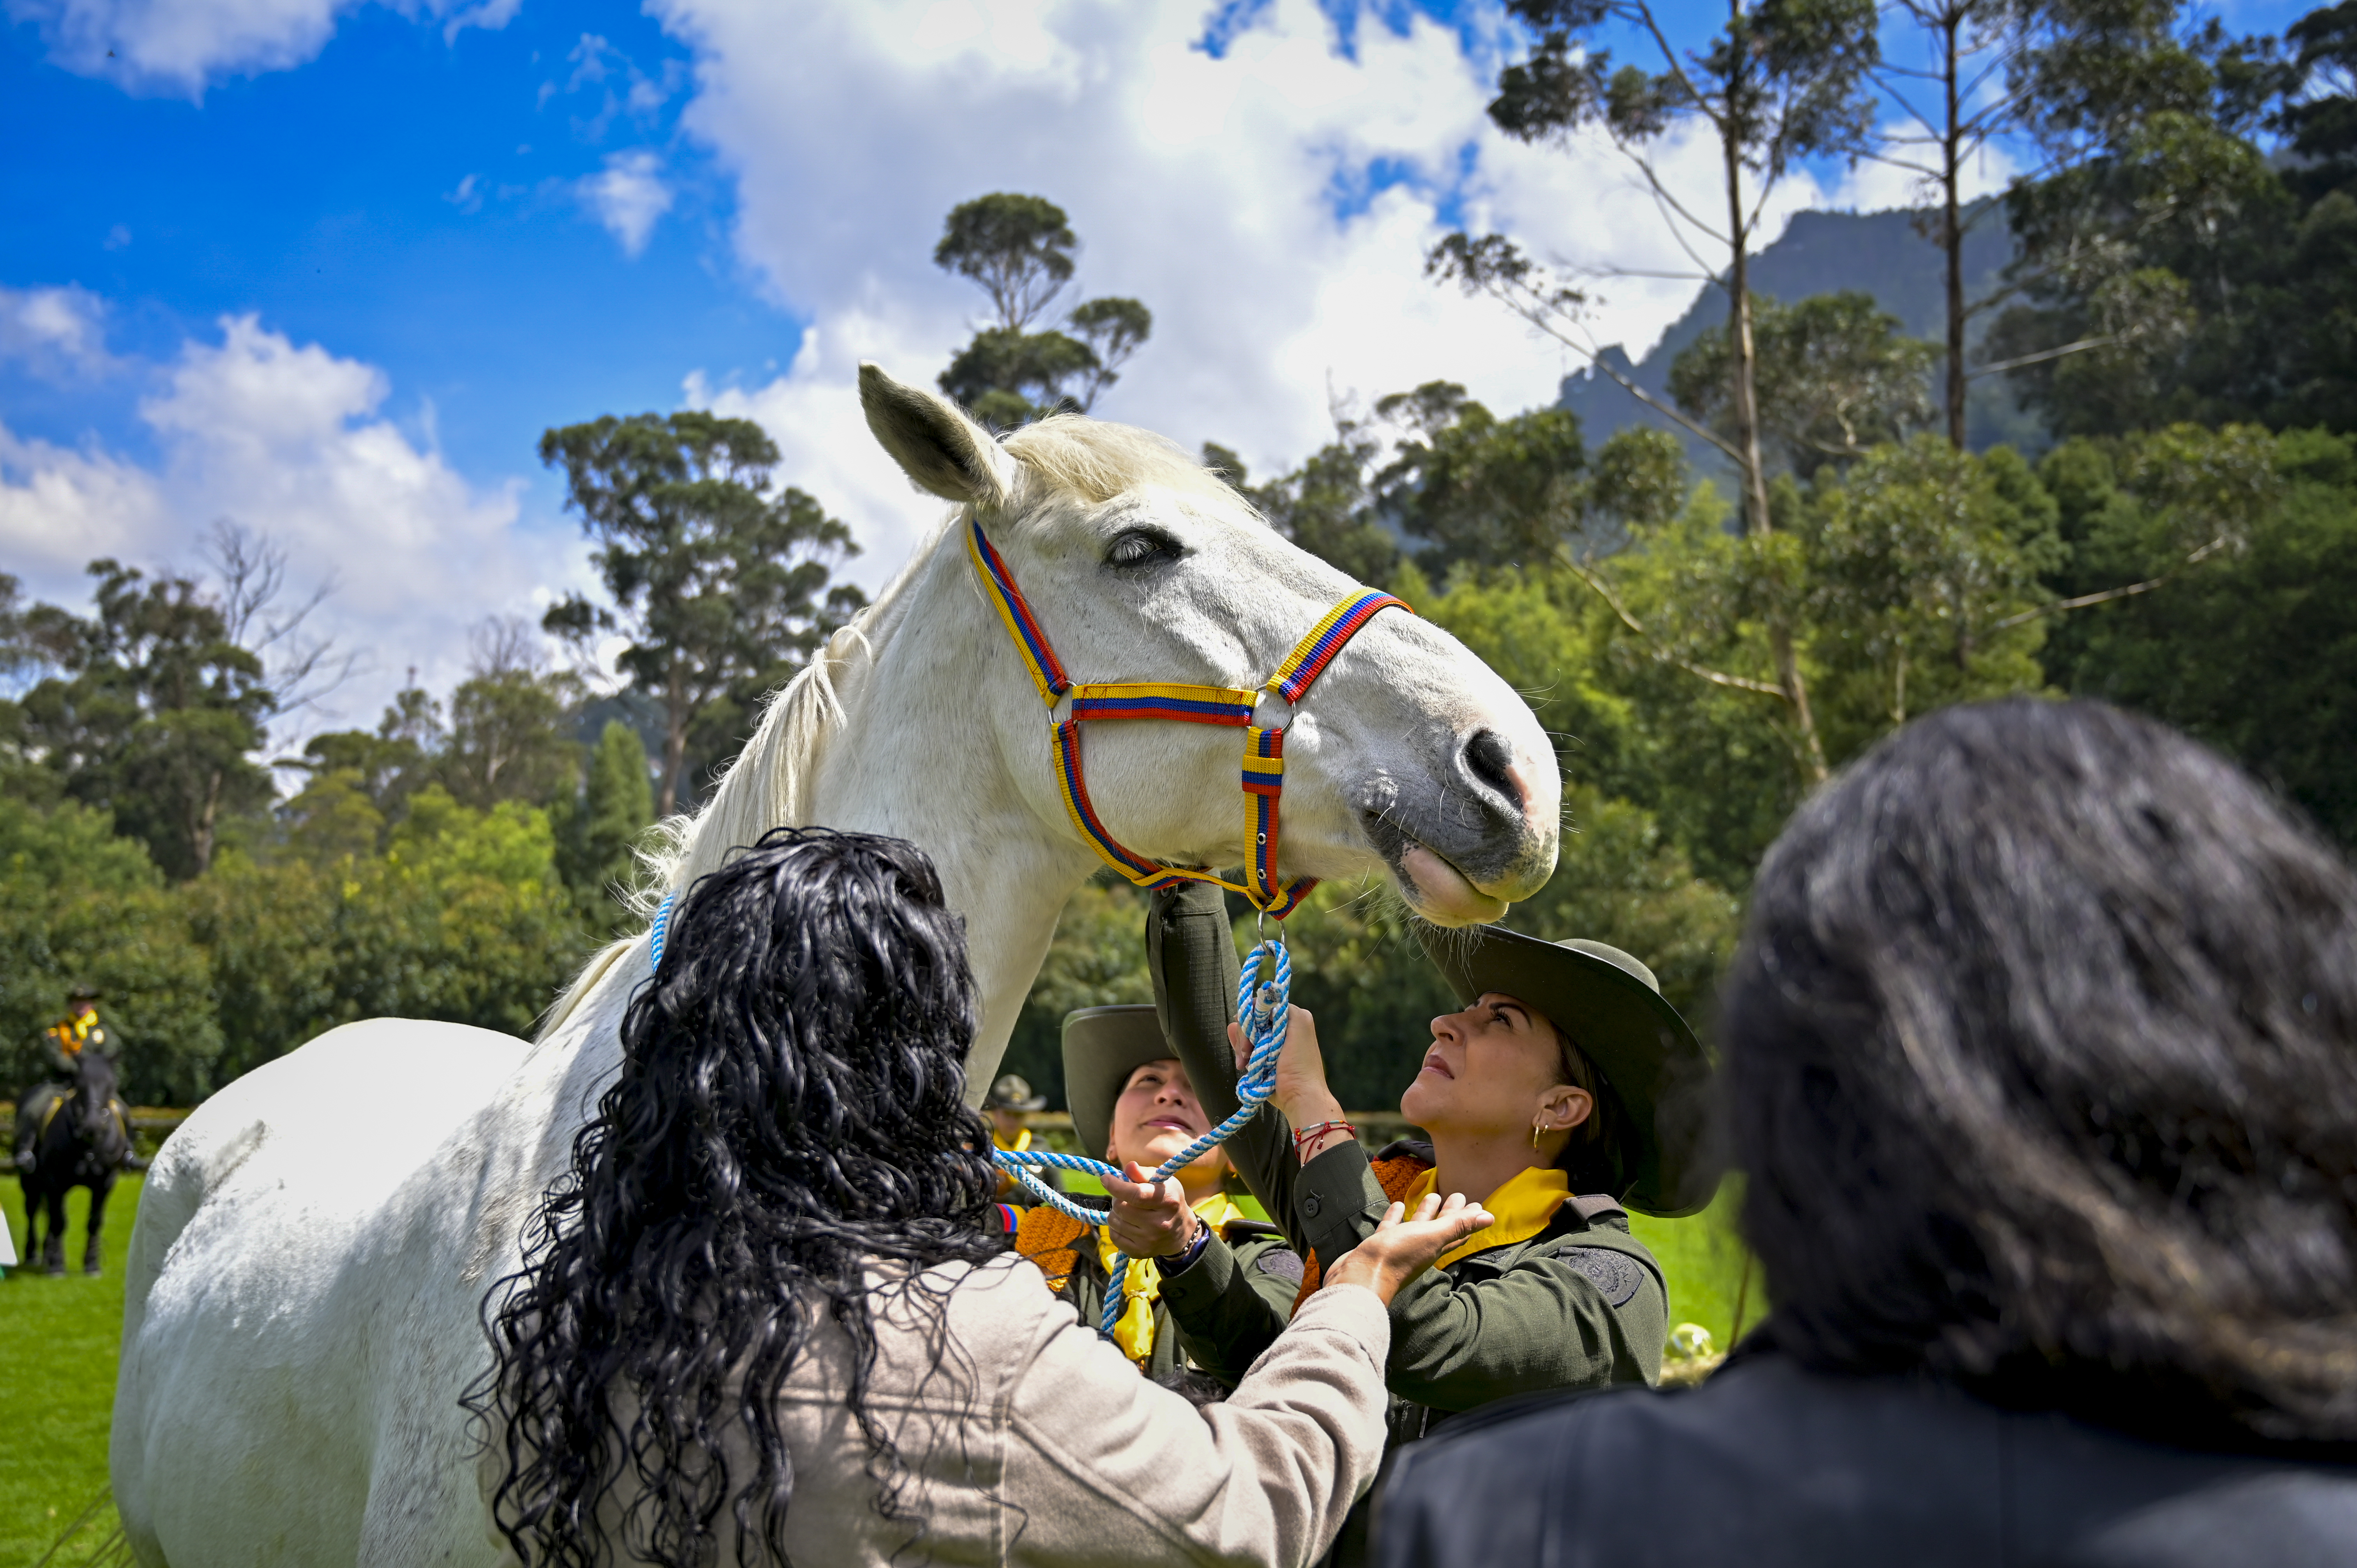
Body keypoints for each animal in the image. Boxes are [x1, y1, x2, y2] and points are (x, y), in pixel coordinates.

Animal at [21, 1046, 133, 1276]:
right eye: (80, 1084)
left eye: (111, 1085)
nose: (93, 1126)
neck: (88, 1147)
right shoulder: (54, 1182)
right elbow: (59, 1221)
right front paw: (57, 1265)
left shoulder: (105, 1184)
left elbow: (94, 1222)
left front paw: (91, 1264)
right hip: (29, 1182)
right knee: (32, 1211)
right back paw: (33, 1255)